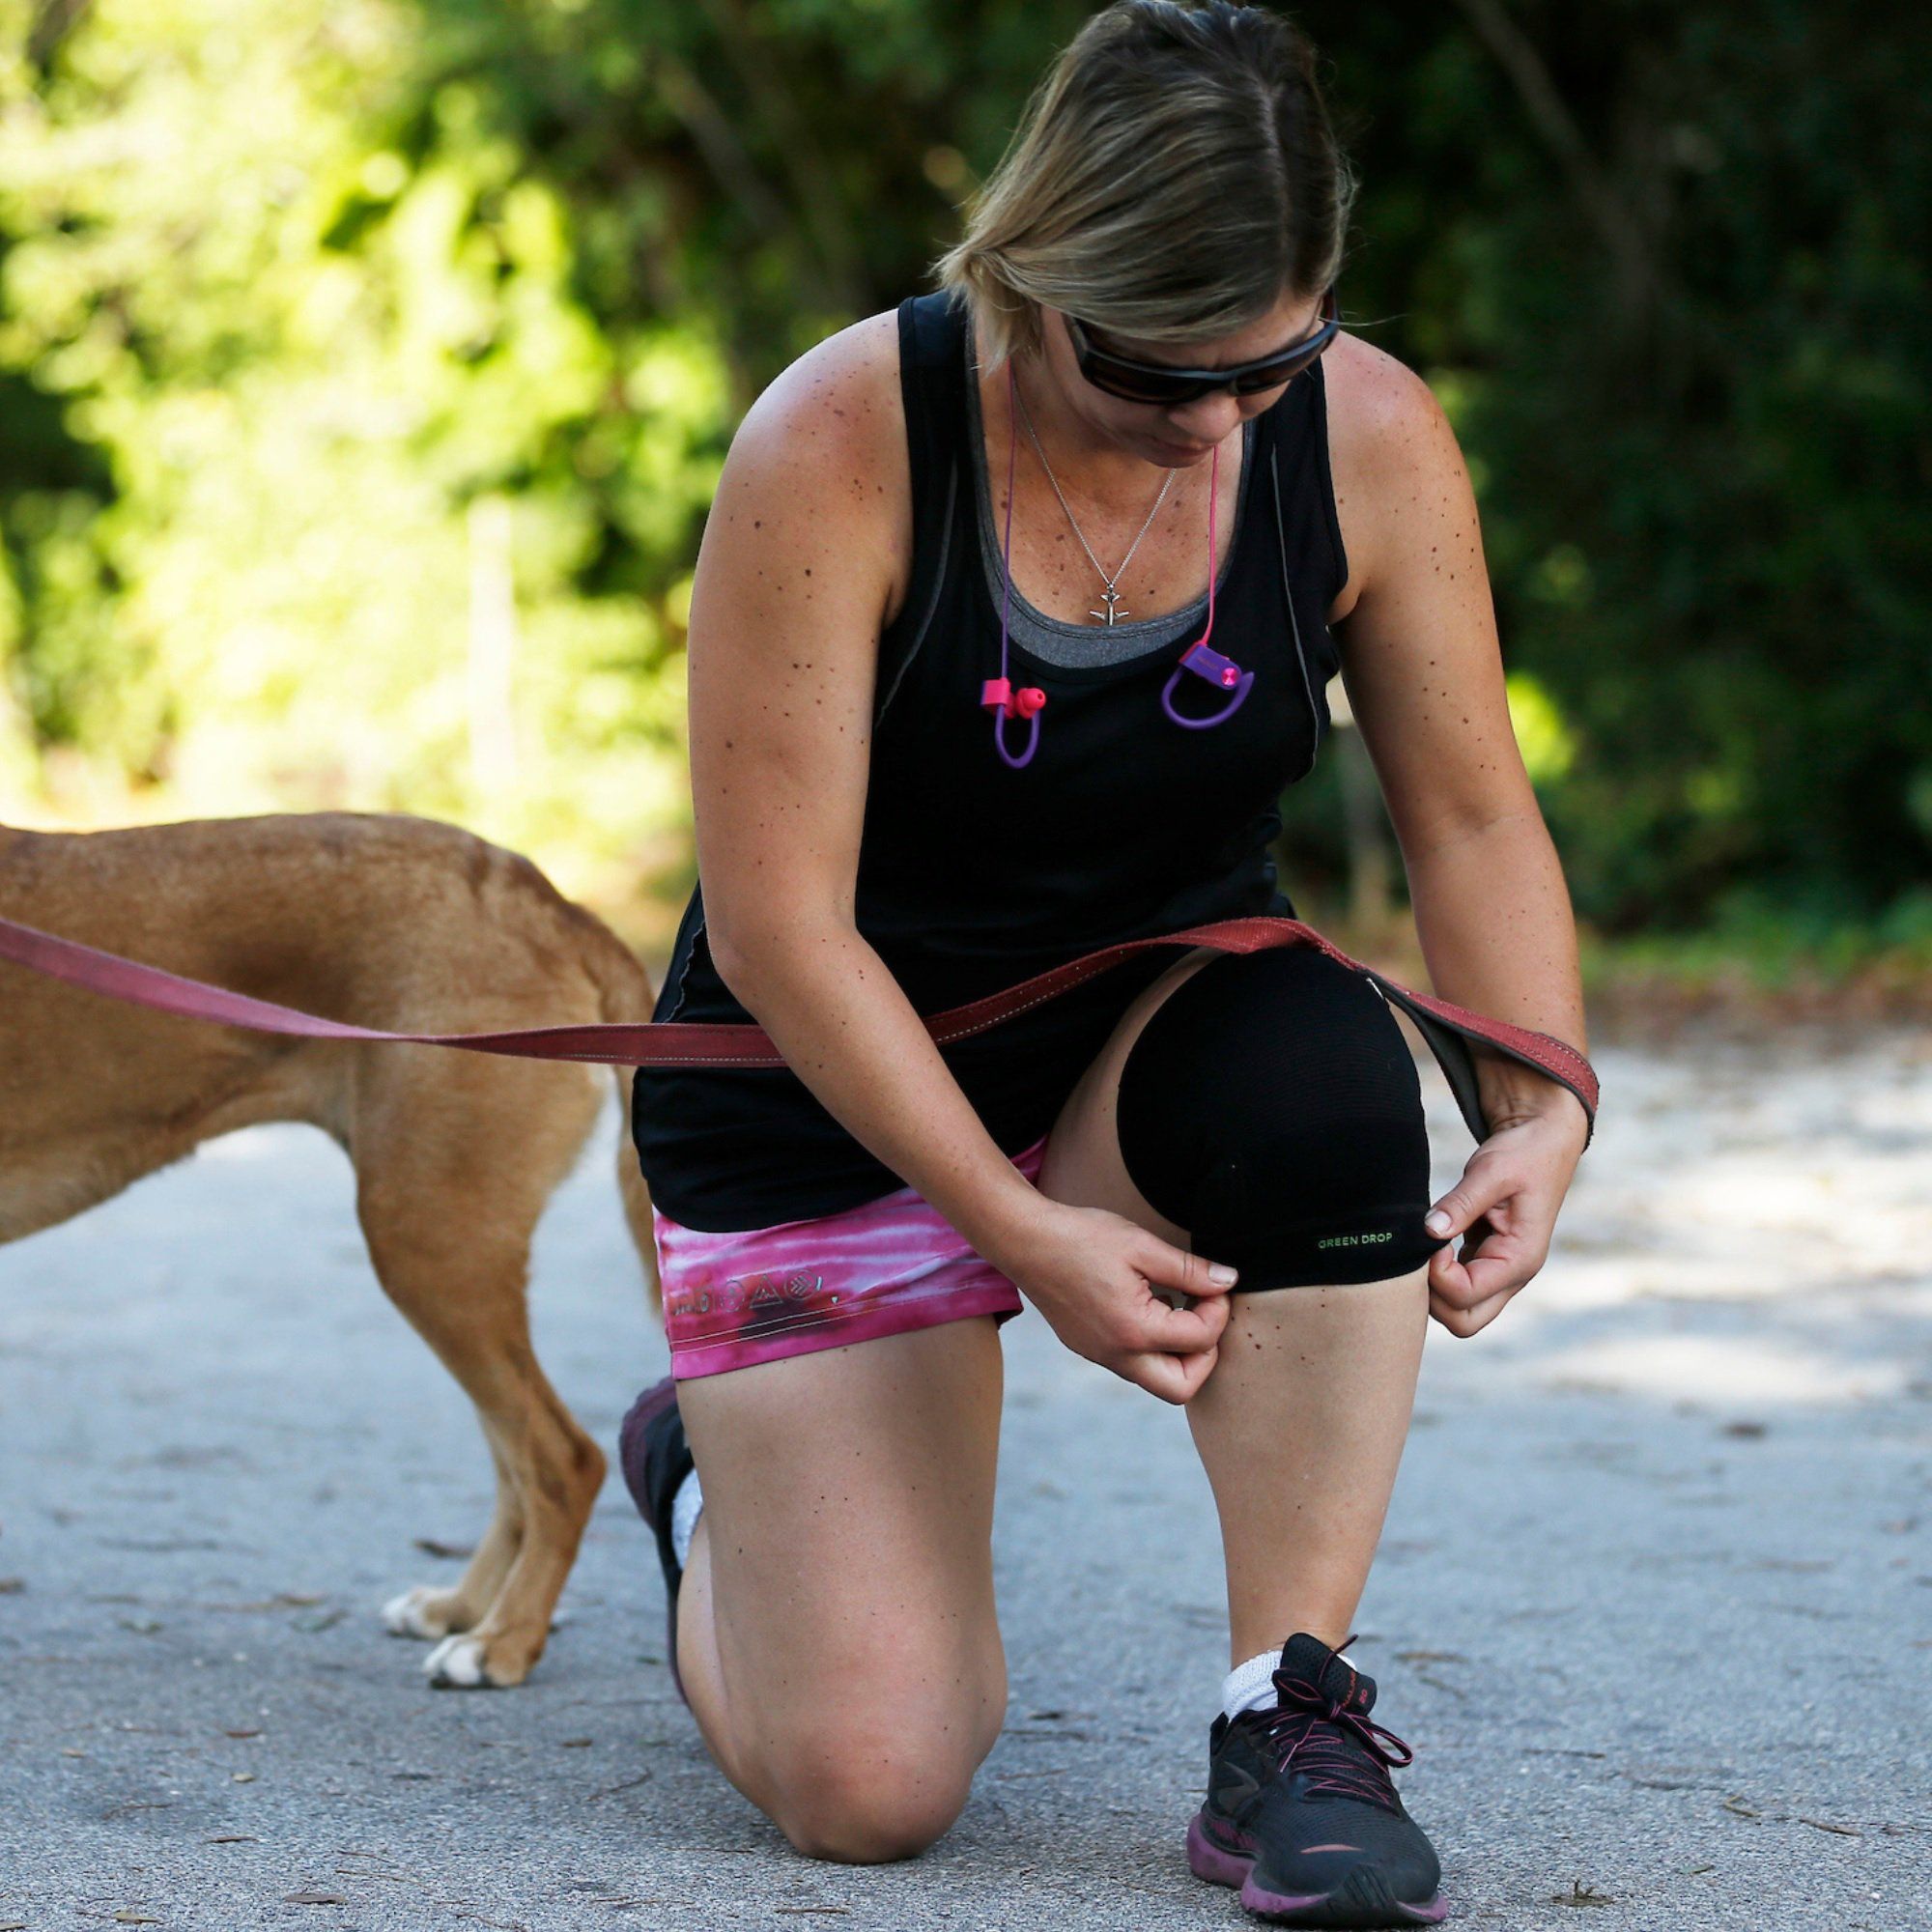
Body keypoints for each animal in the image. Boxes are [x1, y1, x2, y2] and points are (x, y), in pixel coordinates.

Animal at [0, 808, 665, 1685]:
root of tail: (540, 896)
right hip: (447, 1251)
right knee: (514, 1464)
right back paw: (465, 1608)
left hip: (426, 1241)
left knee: (562, 1459)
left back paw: (504, 1644)